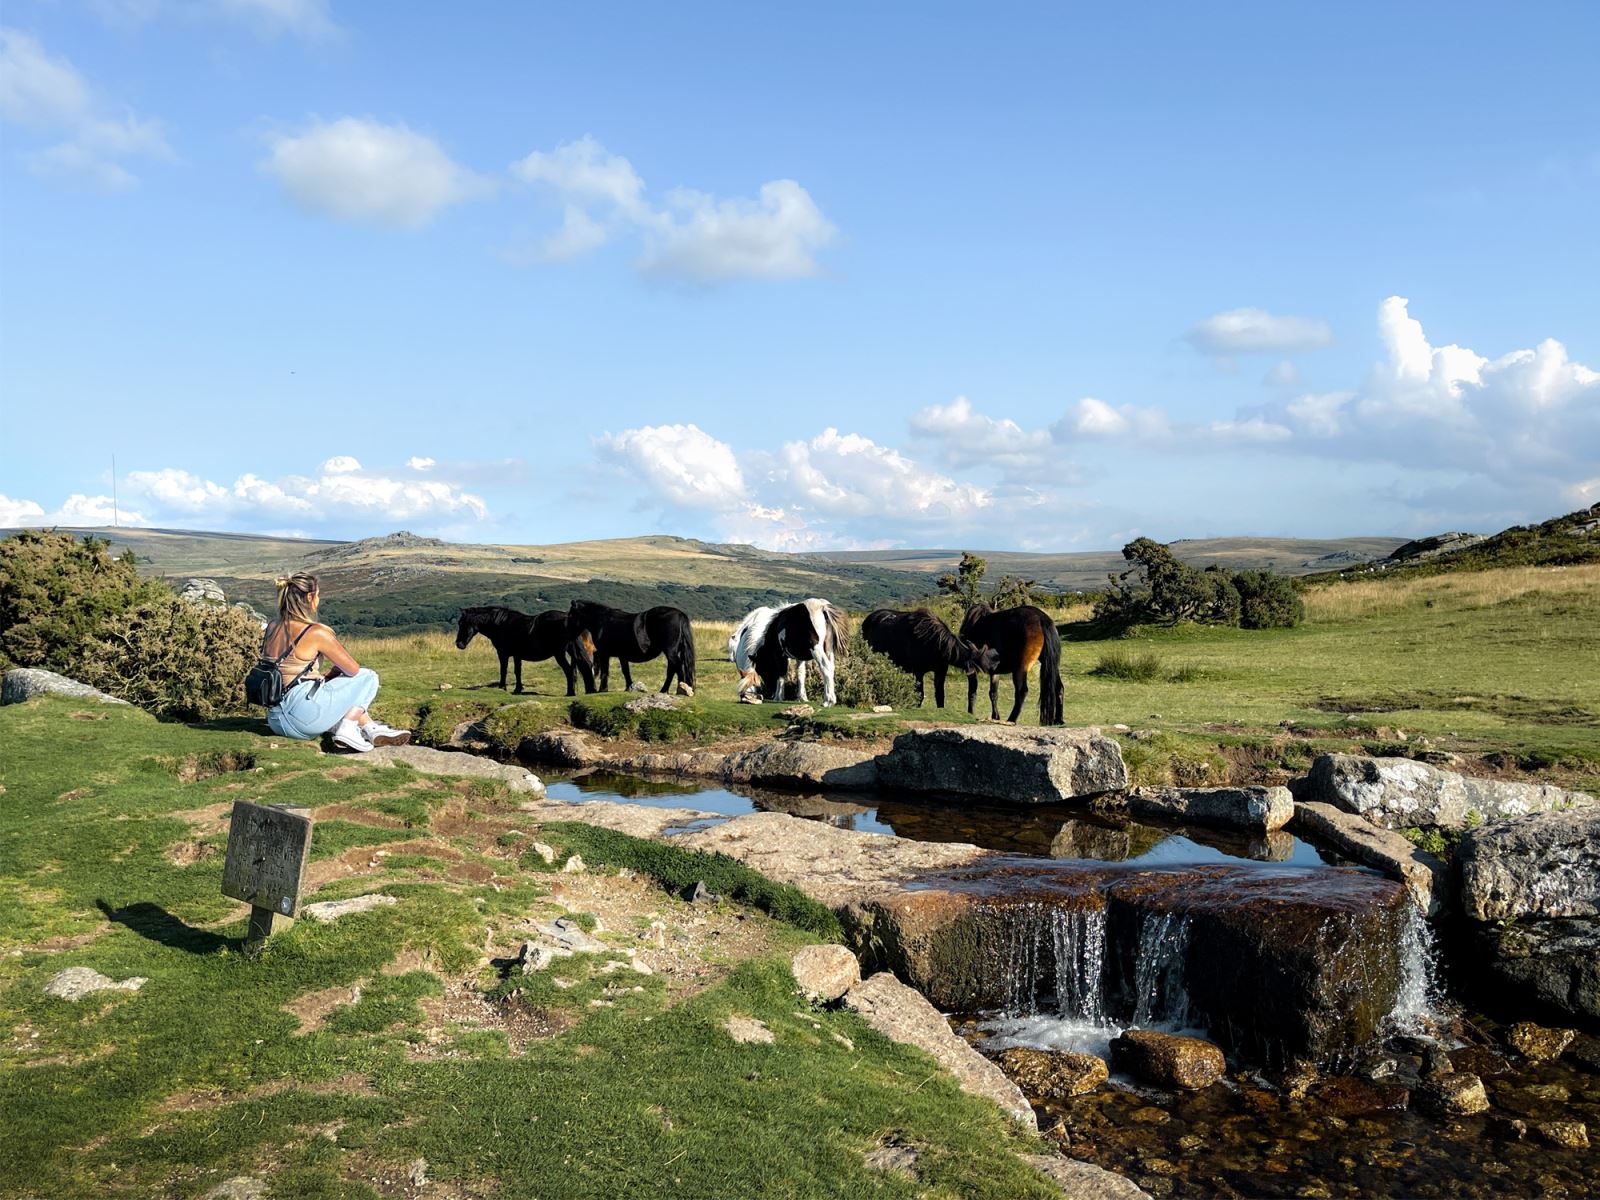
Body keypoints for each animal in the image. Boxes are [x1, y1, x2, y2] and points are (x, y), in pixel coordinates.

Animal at [457, 604, 595, 700]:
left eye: (462, 623)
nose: (459, 644)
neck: (500, 624)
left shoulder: (503, 653)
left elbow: (504, 670)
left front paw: (502, 687)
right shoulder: (517, 655)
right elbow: (517, 671)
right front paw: (518, 689)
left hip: (559, 654)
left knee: (569, 671)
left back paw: (570, 693)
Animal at [566, 601, 697, 694]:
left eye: (571, 614)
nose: (567, 633)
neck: (601, 622)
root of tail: (680, 614)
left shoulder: (604, 654)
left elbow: (605, 672)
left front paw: (603, 689)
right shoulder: (622, 655)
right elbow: (626, 671)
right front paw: (629, 687)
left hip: (670, 651)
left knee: (677, 667)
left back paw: (679, 689)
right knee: (673, 669)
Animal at [857, 604, 992, 710]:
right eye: (977, 667)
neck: (935, 643)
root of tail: (866, 621)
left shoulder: (941, 671)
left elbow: (940, 694)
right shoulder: (918, 672)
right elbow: (920, 694)